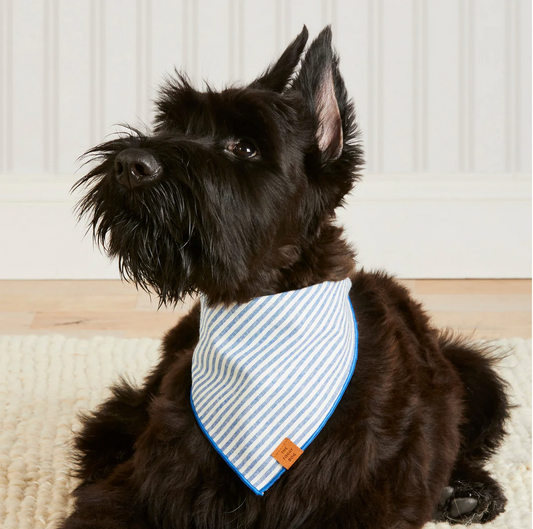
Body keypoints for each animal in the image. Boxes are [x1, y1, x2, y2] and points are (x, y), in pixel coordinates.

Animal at [64, 26, 510, 524]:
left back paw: (466, 490)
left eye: (245, 147)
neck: (260, 310)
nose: (130, 166)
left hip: (477, 376)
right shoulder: (142, 489)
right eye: (171, 127)